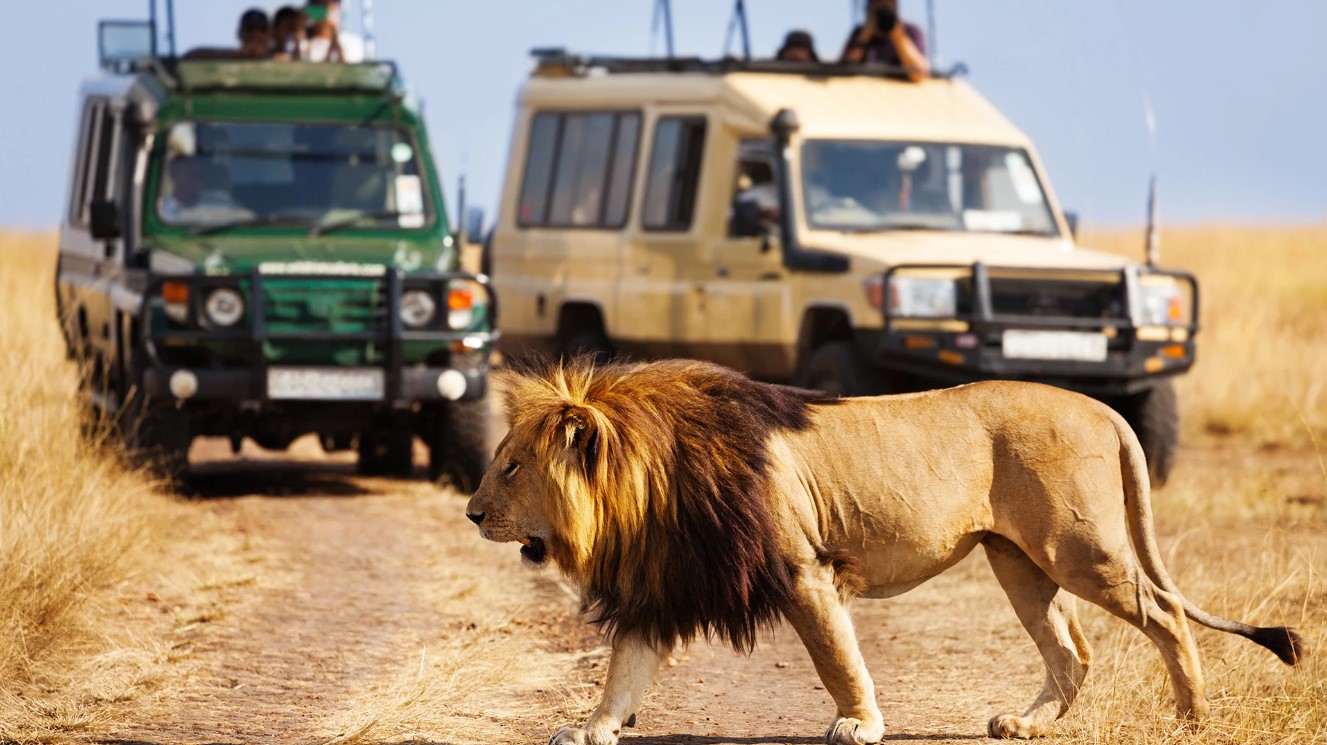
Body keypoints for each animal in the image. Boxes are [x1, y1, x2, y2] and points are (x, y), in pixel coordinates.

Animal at [465, 357, 1304, 743]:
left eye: (511, 465)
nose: (471, 513)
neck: (650, 485)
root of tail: (1100, 405)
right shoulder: (663, 583)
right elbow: (624, 669)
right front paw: (591, 726)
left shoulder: (802, 568)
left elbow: (836, 656)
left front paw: (859, 722)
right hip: (1015, 559)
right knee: (1072, 650)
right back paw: (1024, 723)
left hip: (1077, 545)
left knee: (1164, 610)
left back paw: (1190, 715)